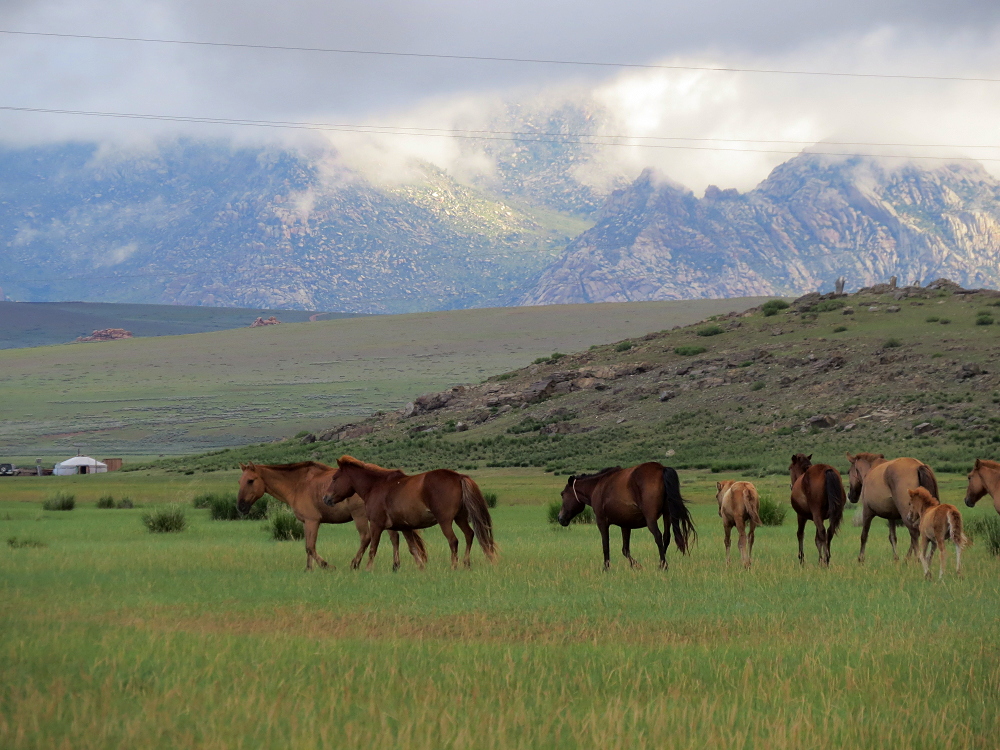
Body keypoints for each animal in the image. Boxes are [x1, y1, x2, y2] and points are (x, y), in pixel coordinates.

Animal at [237, 462, 426, 572]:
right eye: (240, 481)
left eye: (251, 481)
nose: (240, 507)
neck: (298, 484)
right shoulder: (306, 523)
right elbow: (307, 546)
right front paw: (308, 569)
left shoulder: (313, 521)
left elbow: (311, 547)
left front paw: (326, 566)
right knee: (394, 538)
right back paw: (395, 566)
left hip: (361, 517)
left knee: (366, 538)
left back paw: (355, 564)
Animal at [322, 456, 498, 572]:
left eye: (335, 478)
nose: (326, 498)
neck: (376, 486)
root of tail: (458, 476)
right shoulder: (403, 527)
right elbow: (412, 548)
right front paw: (419, 566)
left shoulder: (376, 525)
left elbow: (373, 548)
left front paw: (368, 568)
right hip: (460, 518)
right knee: (469, 534)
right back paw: (466, 563)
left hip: (445, 520)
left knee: (453, 541)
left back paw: (454, 566)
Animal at [556, 462, 696, 572]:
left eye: (562, 494)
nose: (560, 518)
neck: (598, 486)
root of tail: (661, 468)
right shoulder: (625, 525)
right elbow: (625, 549)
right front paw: (637, 565)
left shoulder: (602, 522)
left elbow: (606, 546)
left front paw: (606, 568)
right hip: (667, 515)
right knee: (666, 537)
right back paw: (660, 564)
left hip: (651, 519)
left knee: (658, 536)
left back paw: (663, 566)